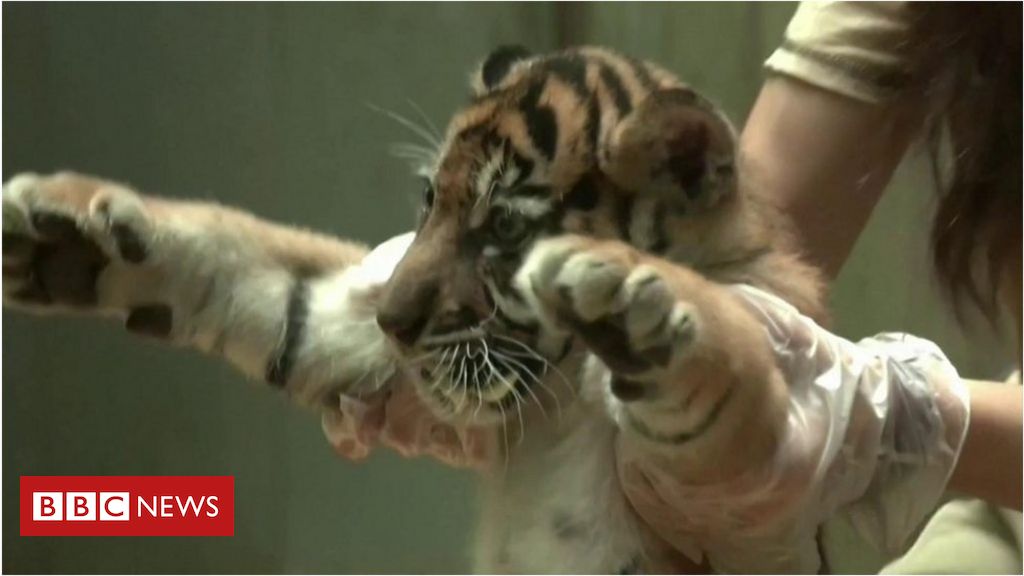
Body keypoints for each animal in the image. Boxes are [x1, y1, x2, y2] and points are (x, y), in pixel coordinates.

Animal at [3, 46, 826, 573]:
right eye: (431, 198)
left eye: (505, 227)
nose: (391, 324)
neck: (558, 398)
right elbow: (251, 262)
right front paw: (66, 231)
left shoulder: (736, 496)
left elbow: (736, 386)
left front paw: (632, 298)